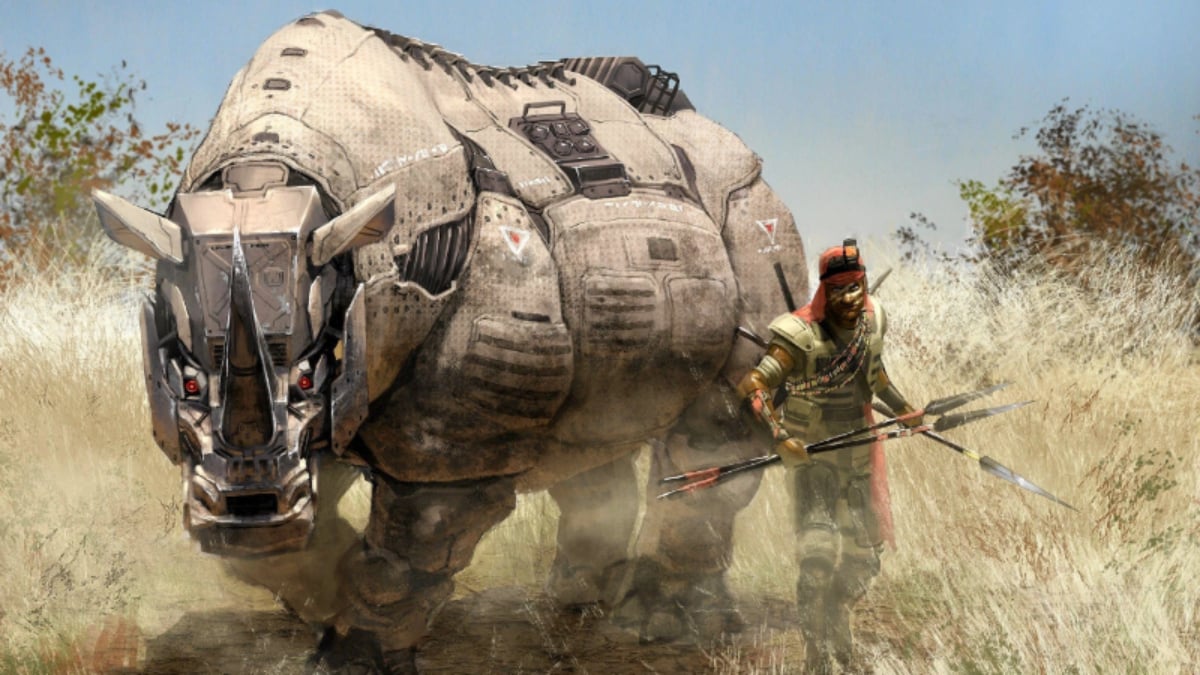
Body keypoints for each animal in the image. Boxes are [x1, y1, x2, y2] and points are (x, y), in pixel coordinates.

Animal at [95, 10, 808, 672]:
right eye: (187, 383)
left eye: (305, 380)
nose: (249, 506)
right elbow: (280, 543)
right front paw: (321, 598)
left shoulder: (452, 433)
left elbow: (421, 530)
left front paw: (355, 654)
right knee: (595, 430)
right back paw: (579, 603)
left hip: (750, 213)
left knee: (717, 426)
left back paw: (658, 628)